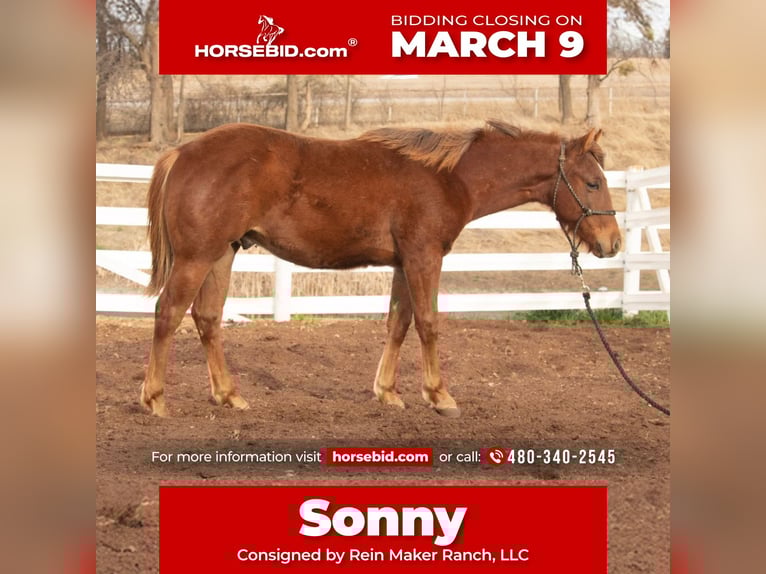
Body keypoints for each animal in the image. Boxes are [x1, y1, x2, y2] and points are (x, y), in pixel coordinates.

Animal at [140, 120, 621, 418]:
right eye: (593, 182)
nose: (612, 243)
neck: (447, 177)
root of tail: (182, 152)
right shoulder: (425, 257)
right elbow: (427, 323)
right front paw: (439, 395)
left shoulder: (404, 263)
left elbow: (398, 323)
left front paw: (388, 393)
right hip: (196, 257)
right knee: (168, 314)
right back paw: (155, 399)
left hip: (222, 254)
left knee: (207, 318)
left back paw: (229, 396)